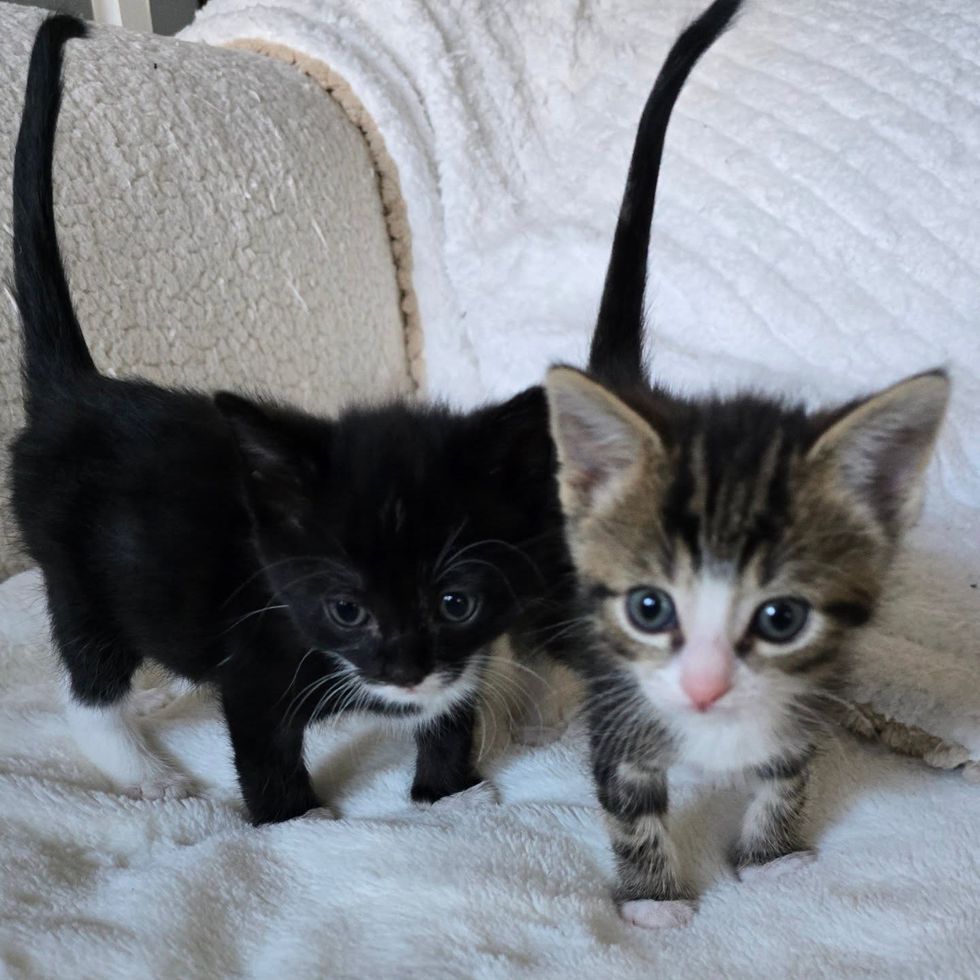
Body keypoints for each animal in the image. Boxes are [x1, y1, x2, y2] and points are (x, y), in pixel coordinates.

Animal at [544, 1, 948, 928]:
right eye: (650, 608)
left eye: (781, 619)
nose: (701, 689)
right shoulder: (618, 705)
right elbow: (628, 800)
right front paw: (653, 902)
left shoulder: (809, 694)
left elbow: (787, 772)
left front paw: (770, 857)